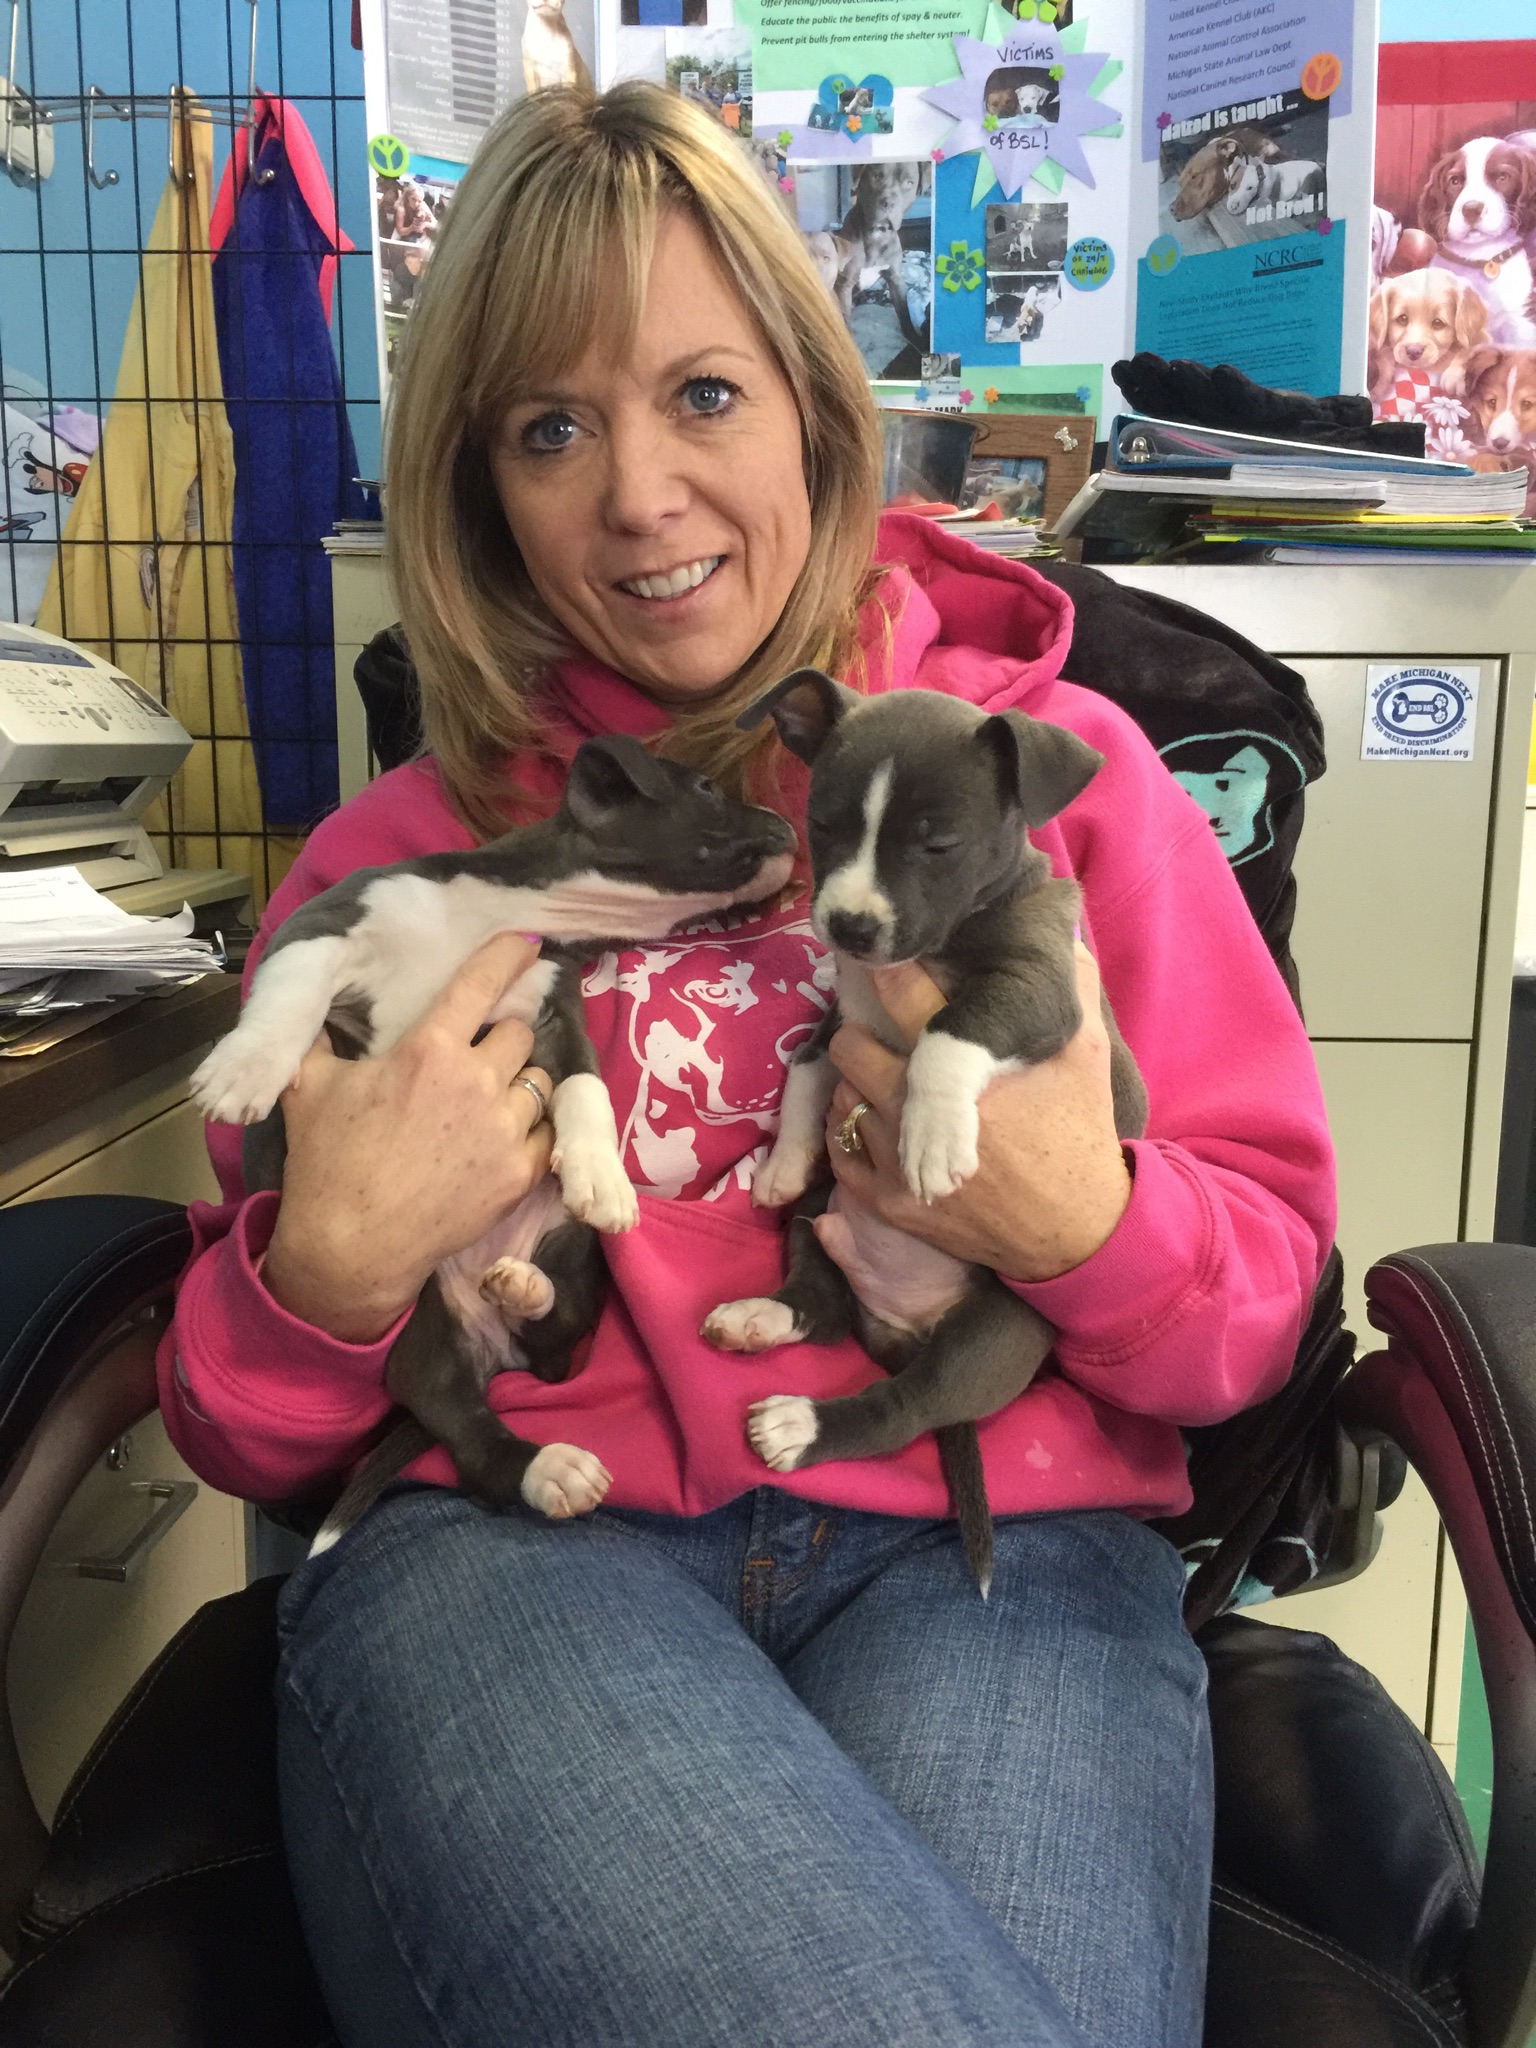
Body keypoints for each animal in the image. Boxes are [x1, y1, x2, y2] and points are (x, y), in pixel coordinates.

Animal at [198, 741, 798, 1548]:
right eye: (706, 787)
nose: (789, 823)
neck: (517, 910)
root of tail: (490, 1347)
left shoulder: (554, 1012)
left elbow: (587, 1087)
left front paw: (601, 1174)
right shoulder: (325, 926)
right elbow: (291, 996)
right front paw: (247, 1065)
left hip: (570, 1252)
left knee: (554, 1341)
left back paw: (525, 1296)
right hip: (416, 1327)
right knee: (476, 1442)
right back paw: (545, 1466)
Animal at [704, 671, 1146, 1581]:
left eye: (937, 845)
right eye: (824, 823)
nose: (850, 926)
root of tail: (901, 1328)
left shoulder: (1038, 989)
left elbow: (951, 1030)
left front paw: (933, 1137)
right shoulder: (845, 1010)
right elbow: (809, 1065)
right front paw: (785, 1161)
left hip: (988, 1338)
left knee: (902, 1410)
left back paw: (802, 1425)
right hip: (819, 1227)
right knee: (820, 1305)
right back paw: (759, 1319)